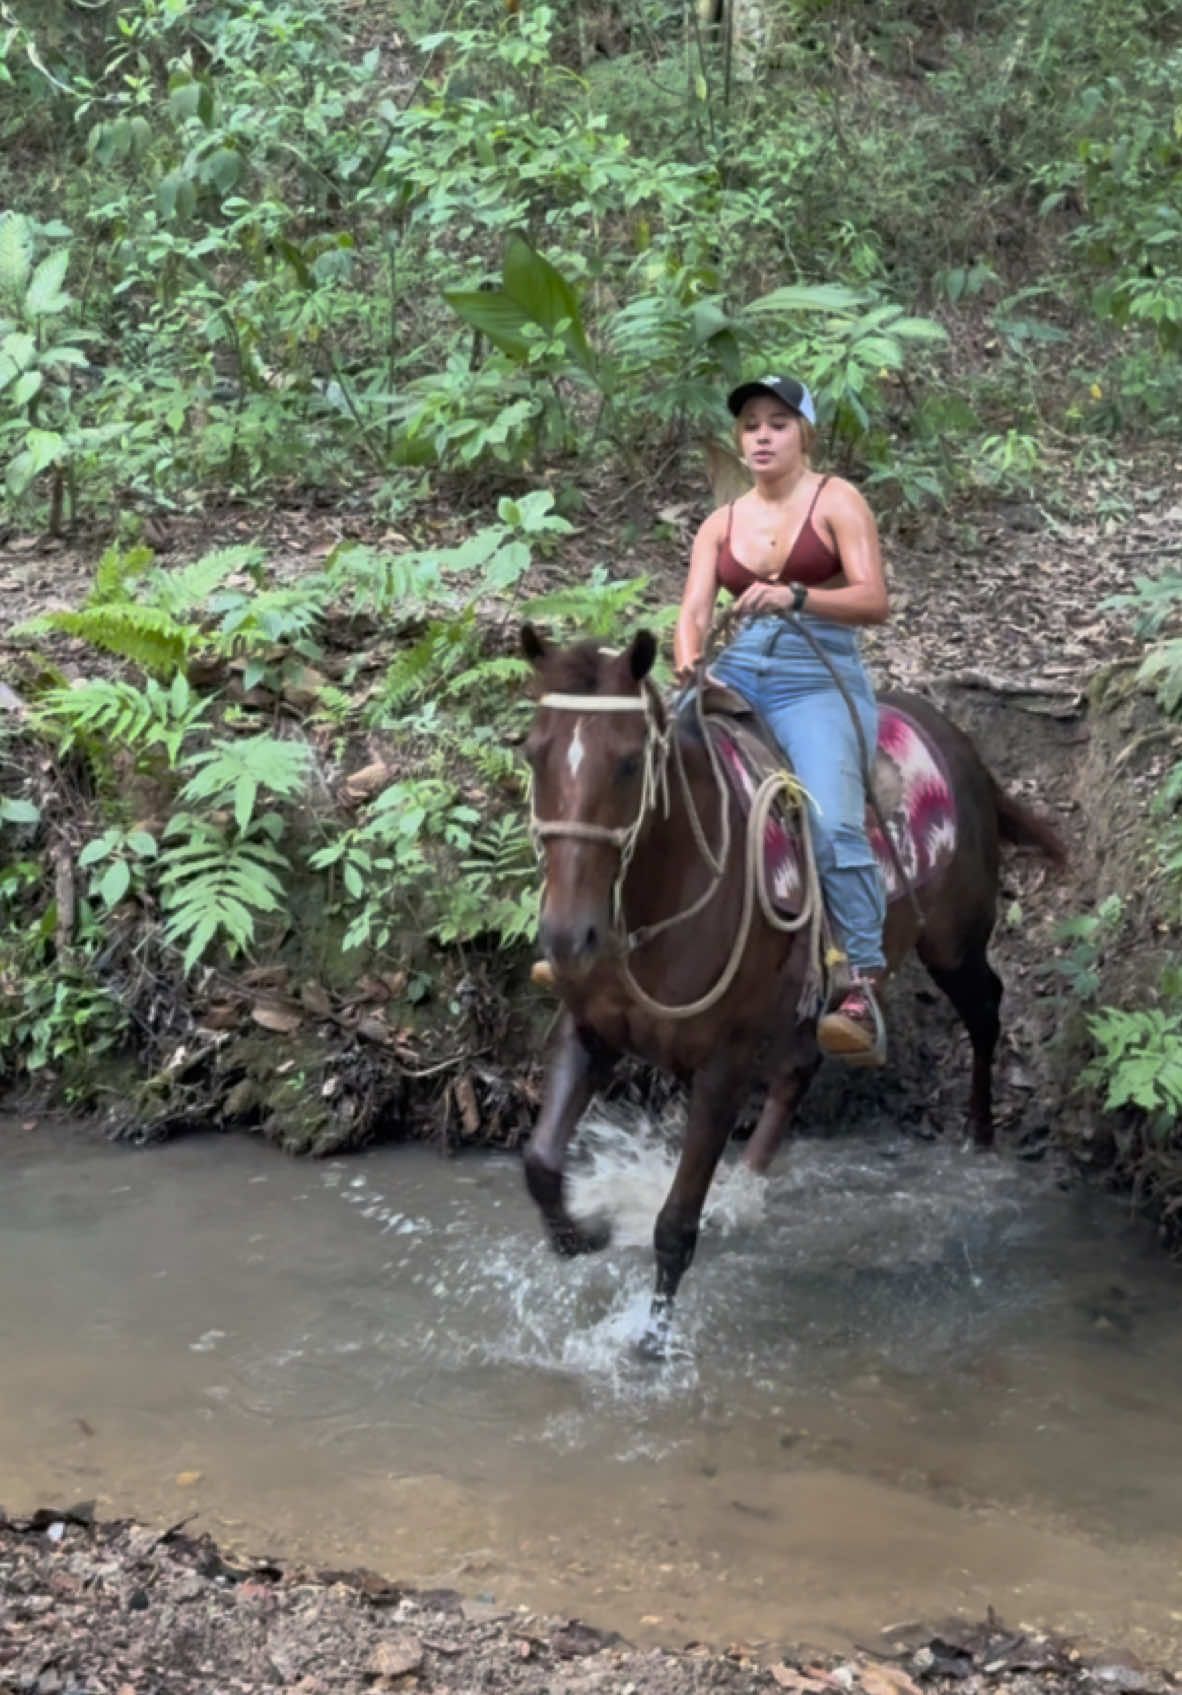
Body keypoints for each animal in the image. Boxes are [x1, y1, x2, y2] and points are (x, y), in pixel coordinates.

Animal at [515, 623, 1058, 1349]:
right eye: (534, 753)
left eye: (629, 762)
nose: (569, 937)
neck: (665, 893)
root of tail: (954, 736)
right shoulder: (590, 1030)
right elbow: (541, 1166)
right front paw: (584, 1236)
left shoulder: (723, 1063)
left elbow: (675, 1225)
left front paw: (652, 1346)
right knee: (802, 1065)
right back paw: (747, 1182)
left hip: (953, 944)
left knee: (986, 1008)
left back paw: (980, 1137)